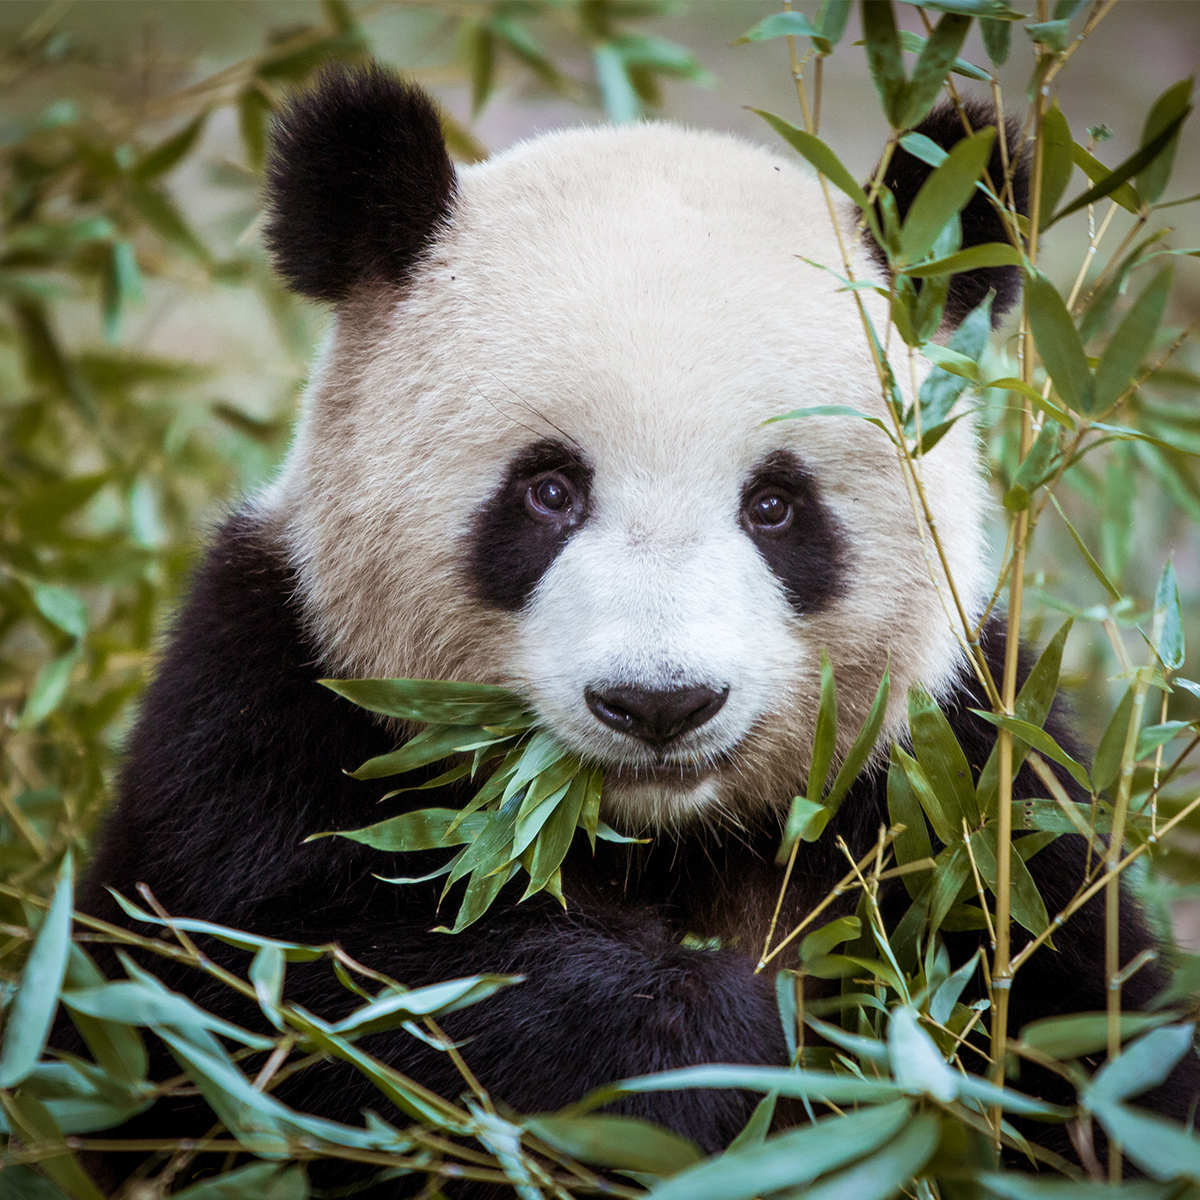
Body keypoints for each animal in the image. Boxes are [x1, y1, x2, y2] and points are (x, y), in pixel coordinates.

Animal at [74, 64, 1195, 1190]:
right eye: (549, 490)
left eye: (776, 505)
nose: (660, 703)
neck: (654, 837)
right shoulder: (267, 702)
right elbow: (289, 987)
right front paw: (731, 1056)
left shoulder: (974, 782)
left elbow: (1097, 1046)